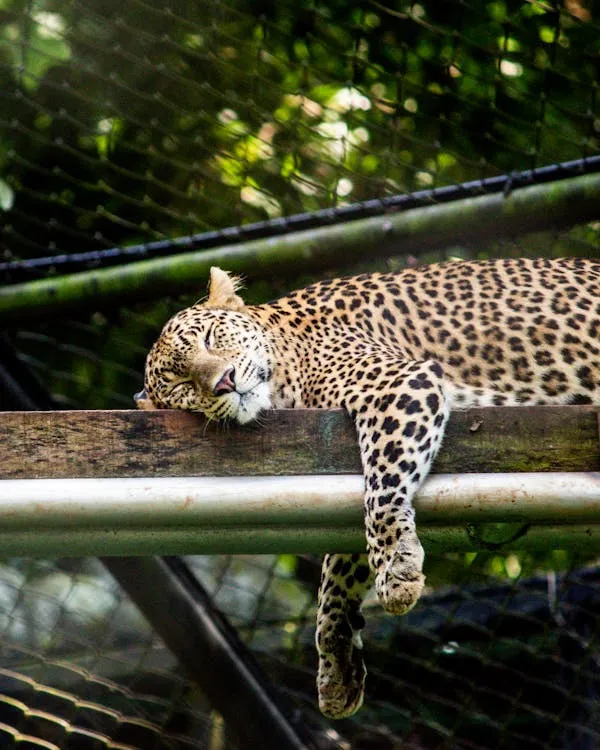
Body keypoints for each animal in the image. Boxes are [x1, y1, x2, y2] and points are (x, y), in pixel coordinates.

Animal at [136, 256, 600, 719]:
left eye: (211, 338)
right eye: (181, 384)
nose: (225, 382)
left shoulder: (399, 383)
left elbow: (382, 487)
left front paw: (397, 570)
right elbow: (337, 567)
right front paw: (336, 662)